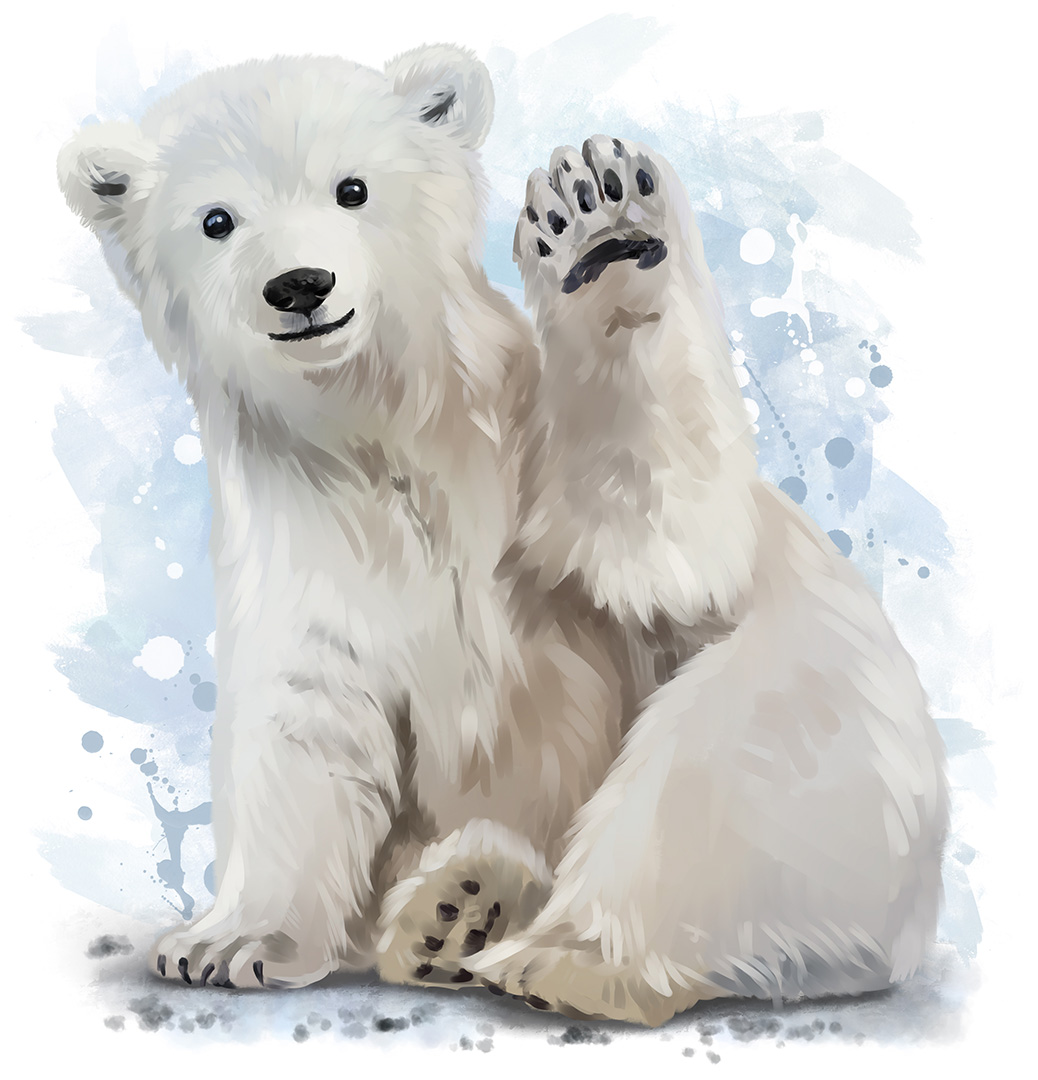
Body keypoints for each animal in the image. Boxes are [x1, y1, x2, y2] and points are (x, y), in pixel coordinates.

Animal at [58, 44, 947, 1026]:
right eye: (216, 220)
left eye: (352, 189)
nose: (299, 287)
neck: (384, 428)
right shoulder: (304, 531)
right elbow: (304, 721)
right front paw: (228, 942)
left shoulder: (528, 466)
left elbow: (655, 550)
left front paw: (599, 229)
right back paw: (456, 912)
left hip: (835, 766)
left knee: (717, 761)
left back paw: (564, 956)